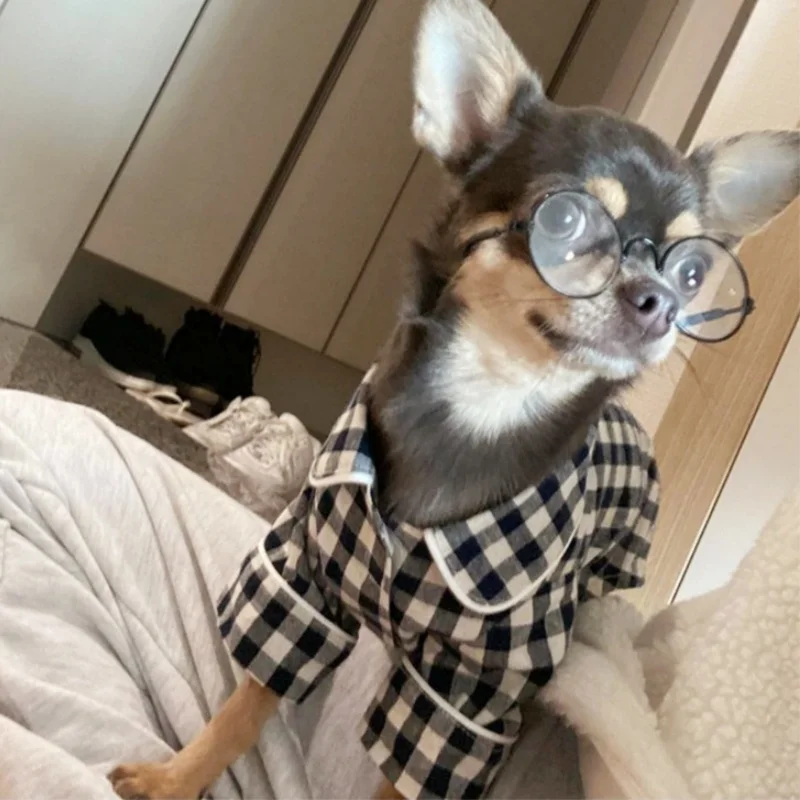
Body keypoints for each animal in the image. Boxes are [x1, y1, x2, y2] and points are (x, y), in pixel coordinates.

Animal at [110, 1, 799, 798]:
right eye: (564, 222)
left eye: (693, 273)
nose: (662, 302)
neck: (484, 396)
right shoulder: (304, 574)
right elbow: (247, 703)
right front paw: (174, 778)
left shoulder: (469, 696)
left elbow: (409, 772)